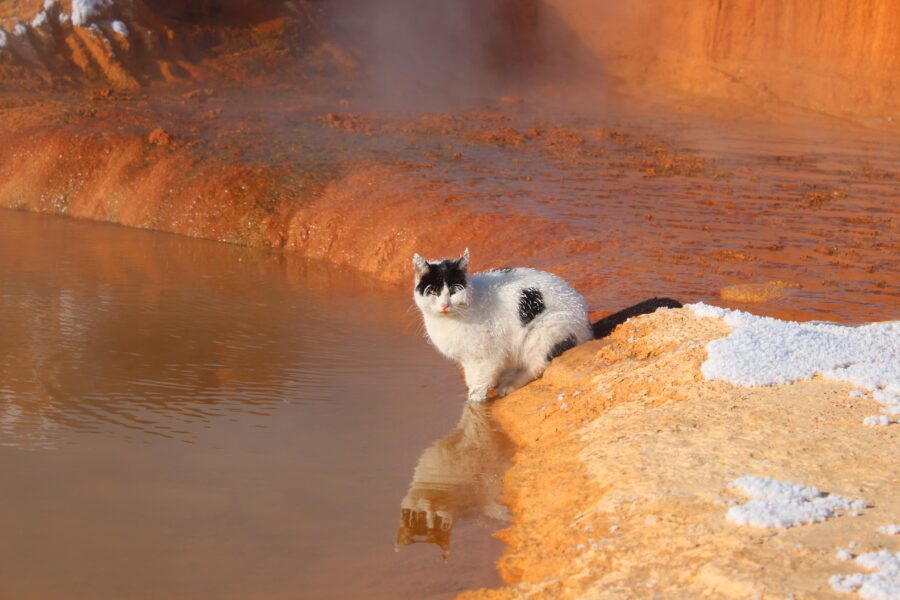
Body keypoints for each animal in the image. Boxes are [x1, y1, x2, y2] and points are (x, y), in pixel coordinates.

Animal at [414, 248, 596, 404]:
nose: (445, 305)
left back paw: (509, 385)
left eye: (453, 291)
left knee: (536, 366)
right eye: (434, 292)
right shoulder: (468, 360)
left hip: (544, 332)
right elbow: (472, 379)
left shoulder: (488, 357)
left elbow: (478, 389)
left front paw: (474, 407)